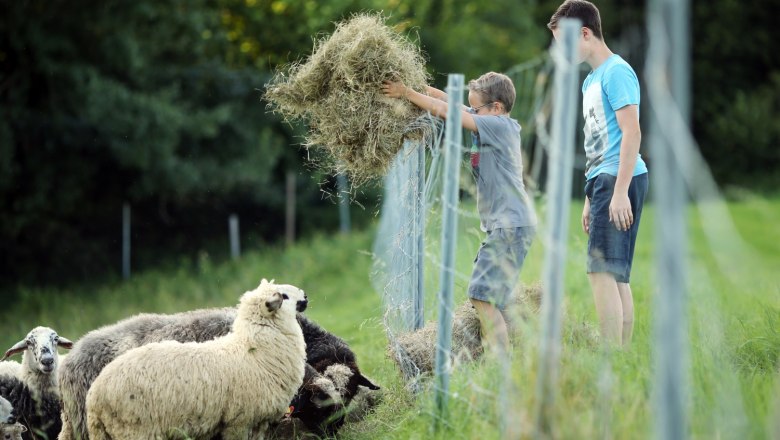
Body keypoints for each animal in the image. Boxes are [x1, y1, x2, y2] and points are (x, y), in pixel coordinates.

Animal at [84, 278, 304, 440]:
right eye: (284, 296)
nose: (305, 296)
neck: (253, 349)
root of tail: (94, 397)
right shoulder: (239, 421)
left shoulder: (259, 422)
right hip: (134, 428)